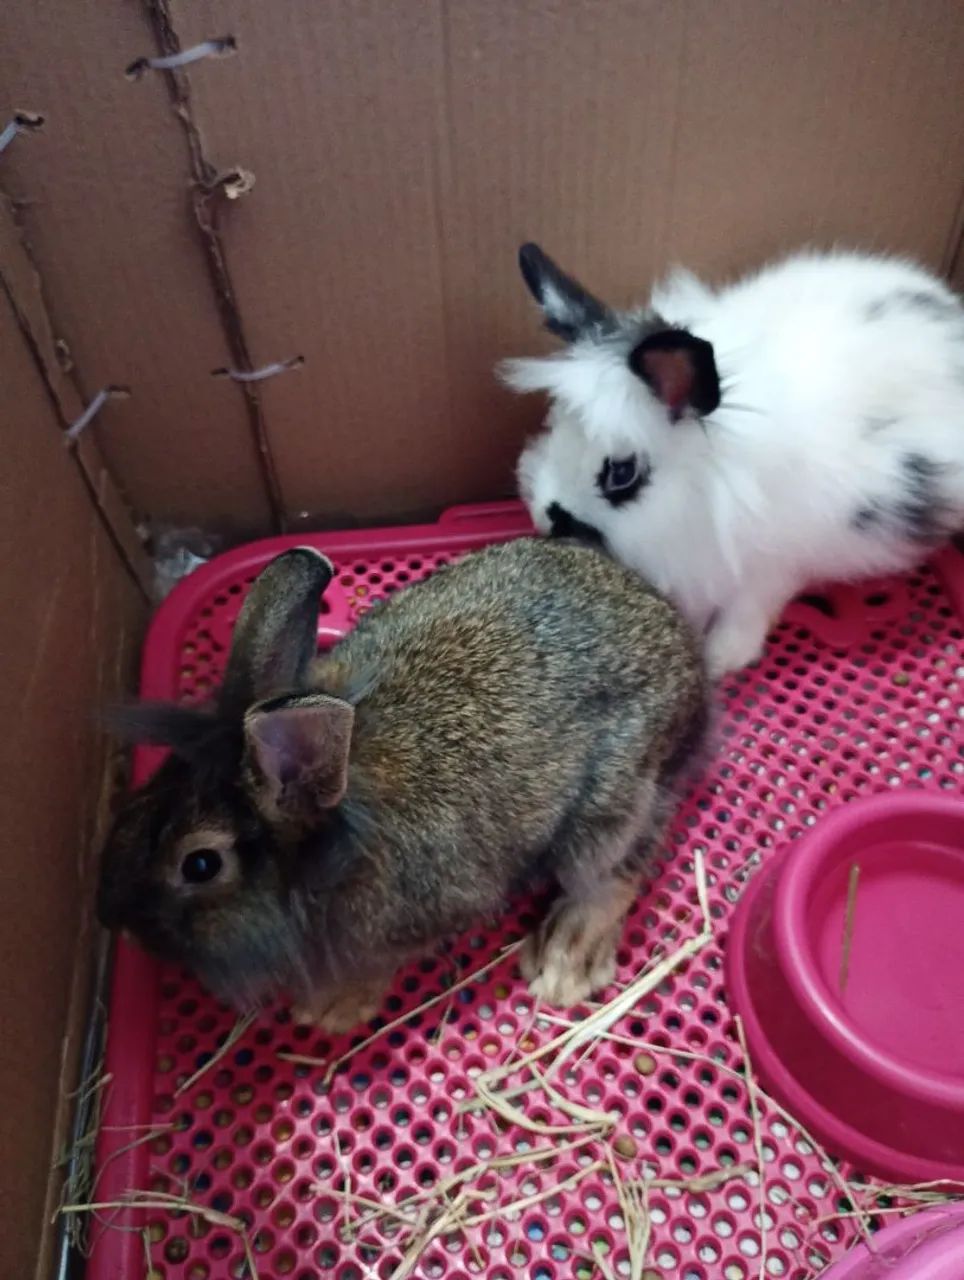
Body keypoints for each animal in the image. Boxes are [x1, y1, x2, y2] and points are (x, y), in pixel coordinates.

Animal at [97, 539, 708, 1033]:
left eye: (199, 865)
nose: (115, 924)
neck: (335, 834)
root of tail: (692, 665)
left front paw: (333, 1008)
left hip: (611, 810)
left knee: (619, 869)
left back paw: (565, 959)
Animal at [504, 243, 964, 677]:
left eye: (622, 473)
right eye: (555, 424)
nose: (546, 518)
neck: (709, 486)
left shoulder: (771, 569)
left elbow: (748, 609)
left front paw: (720, 658)